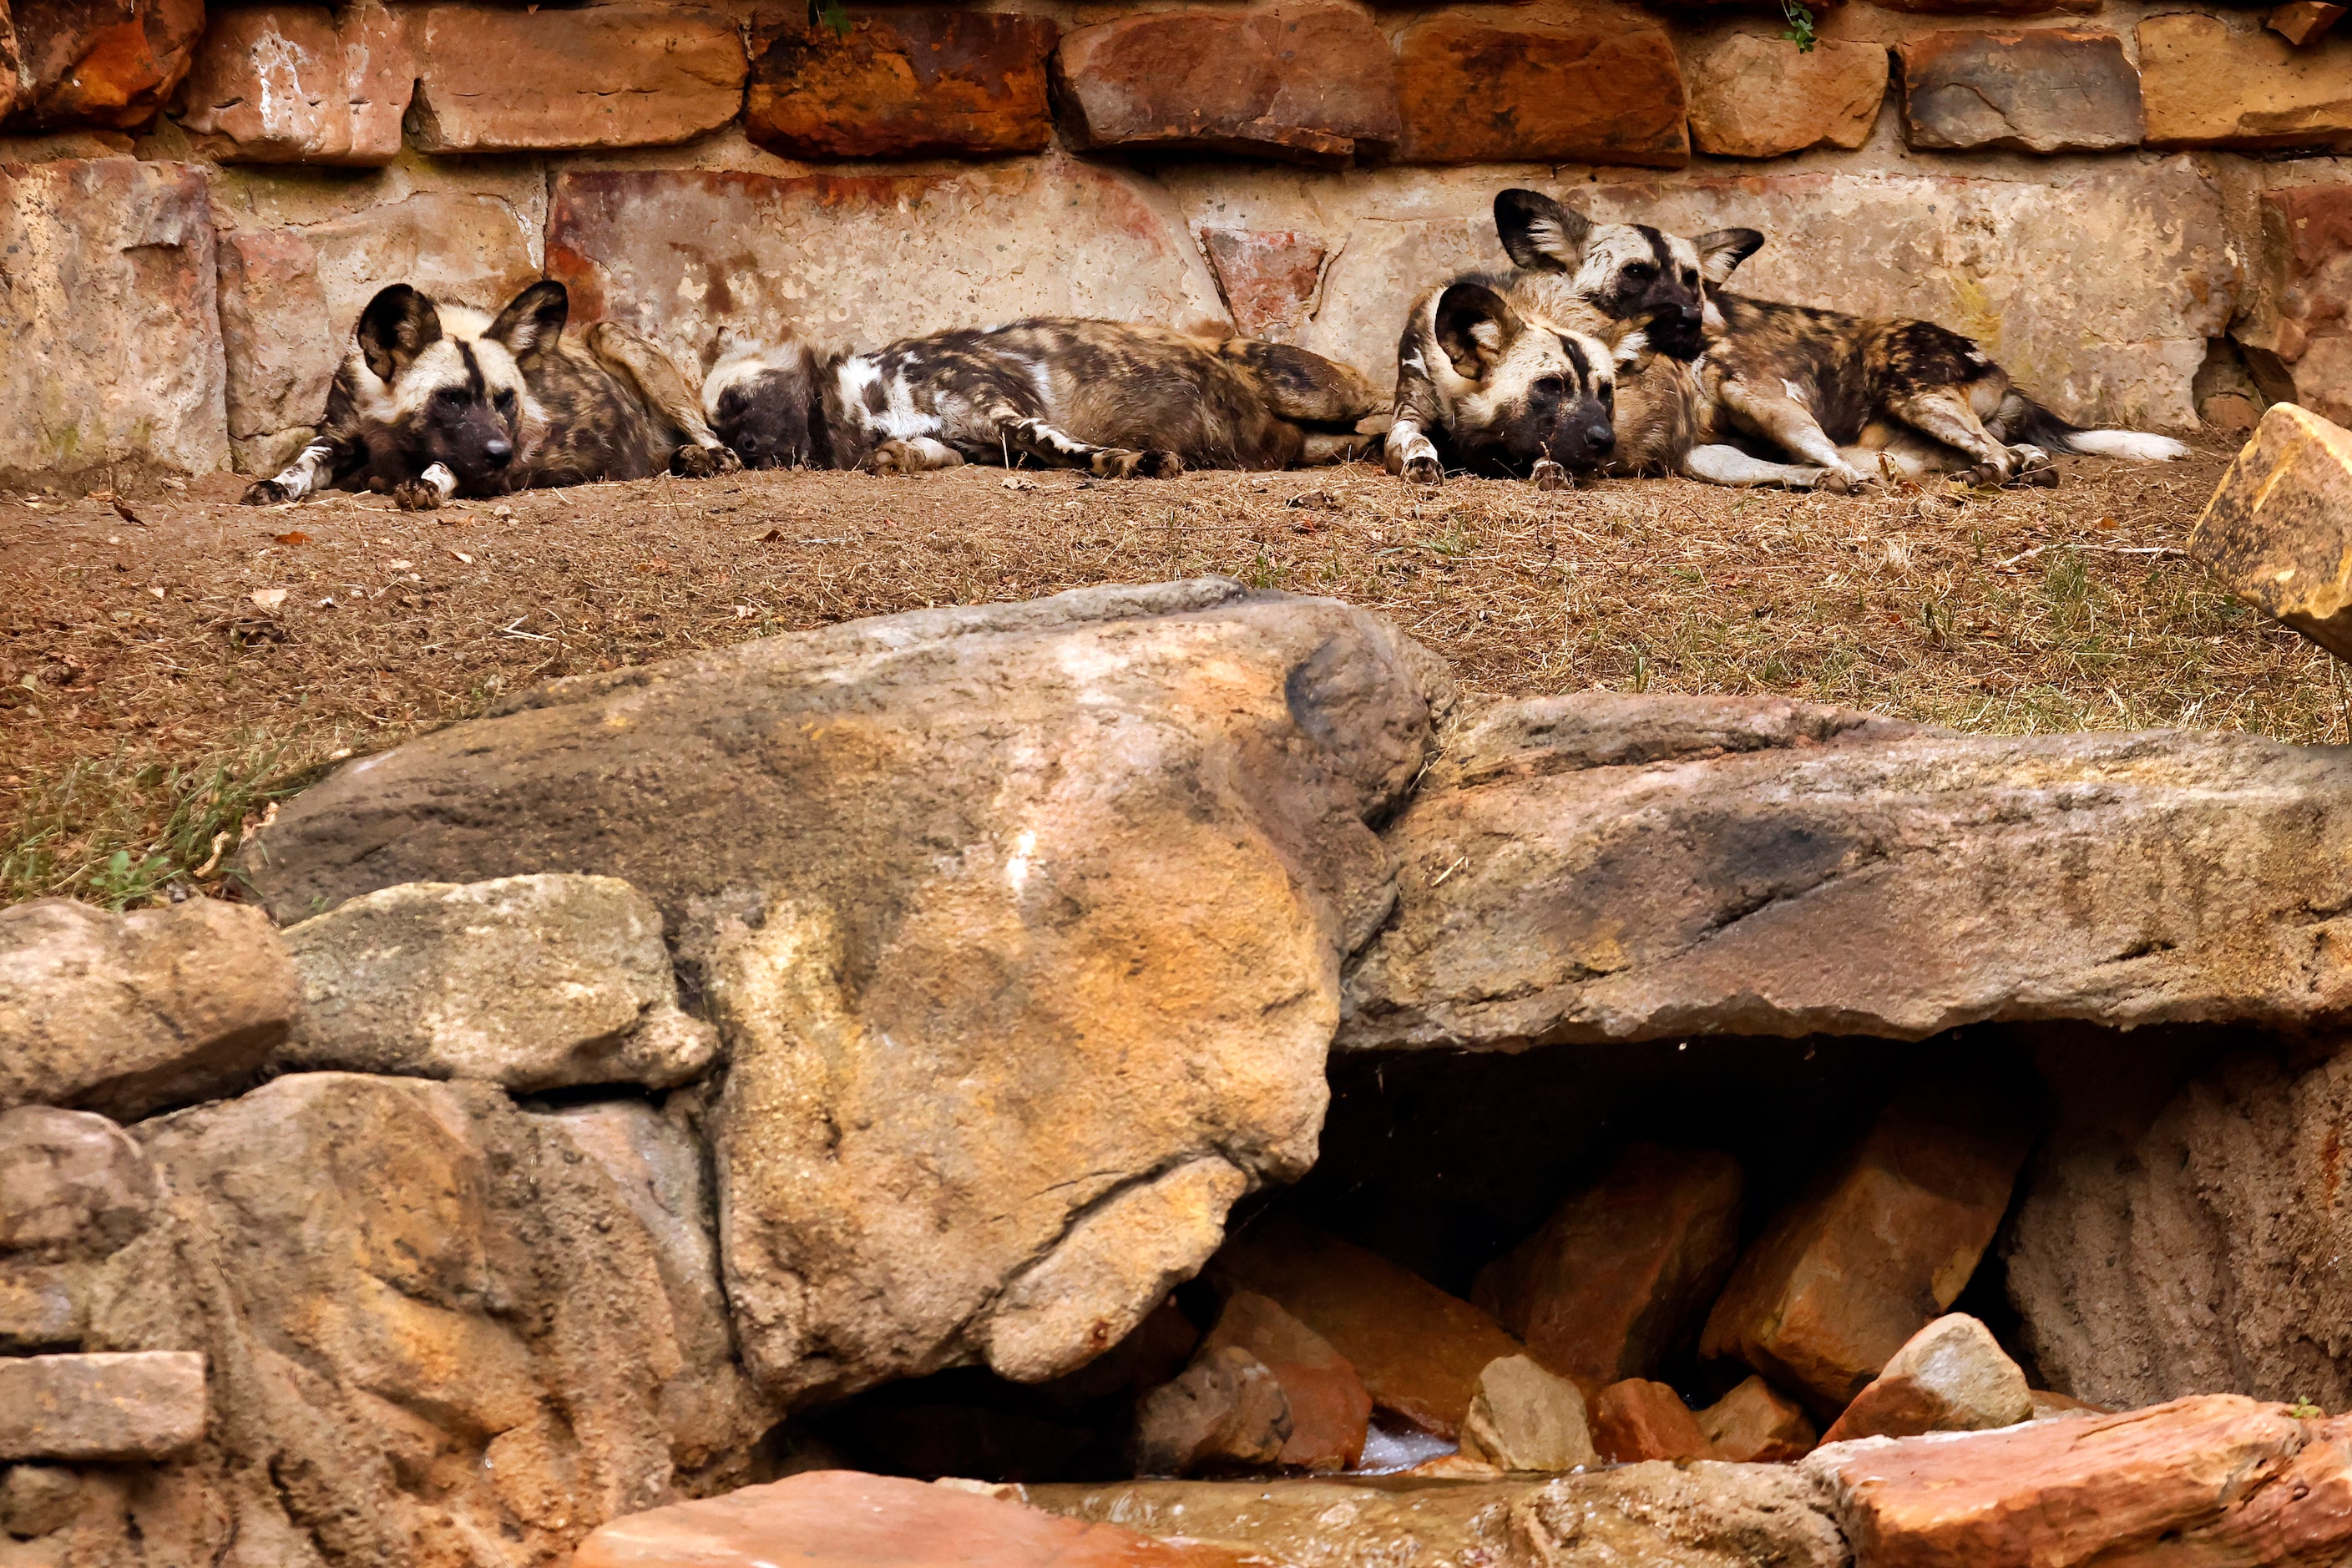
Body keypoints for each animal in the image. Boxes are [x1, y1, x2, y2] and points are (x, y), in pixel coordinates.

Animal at [240, 276, 733, 509]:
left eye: (505, 399)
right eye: (450, 398)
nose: (501, 451)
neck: (396, 435)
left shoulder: (497, 465)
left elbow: (446, 465)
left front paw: (424, 484)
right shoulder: (338, 437)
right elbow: (301, 465)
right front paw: (275, 485)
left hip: (616, 339)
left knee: (720, 445)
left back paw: (706, 458)